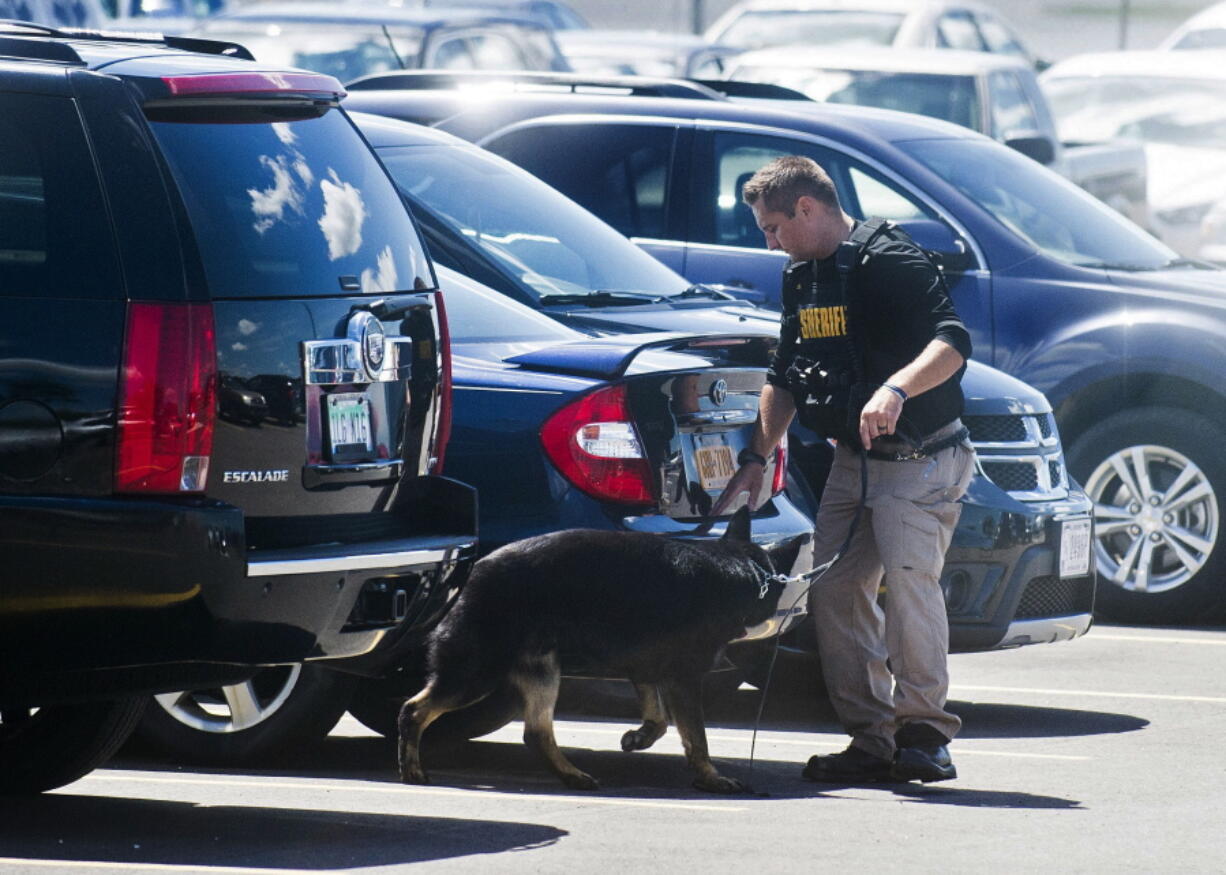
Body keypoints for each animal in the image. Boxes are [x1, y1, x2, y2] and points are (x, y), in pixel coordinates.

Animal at [397, 504, 789, 789]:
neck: (735, 567)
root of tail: (474, 571)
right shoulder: (683, 679)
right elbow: (697, 737)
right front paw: (710, 778)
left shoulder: (645, 670)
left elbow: (659, 719)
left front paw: (640, 737)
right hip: (476, 674)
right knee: (414, 710)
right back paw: (412, 769)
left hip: (541, 673)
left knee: (536, 733)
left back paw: (571, 775)